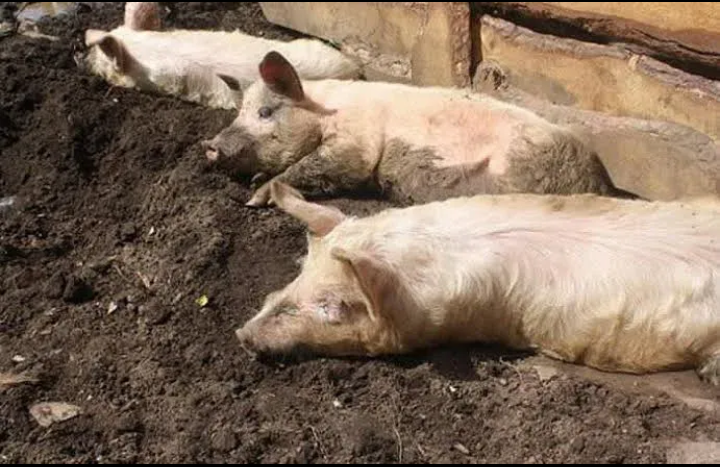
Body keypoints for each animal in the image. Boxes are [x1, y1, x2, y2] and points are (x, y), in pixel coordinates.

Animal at [203, 51, 631, 207]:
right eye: (238, 112)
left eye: (266, 111)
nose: (209, 145)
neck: (325, 110)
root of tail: (600, 183)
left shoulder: (356, 143)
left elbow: (323, 165)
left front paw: (255, 198)